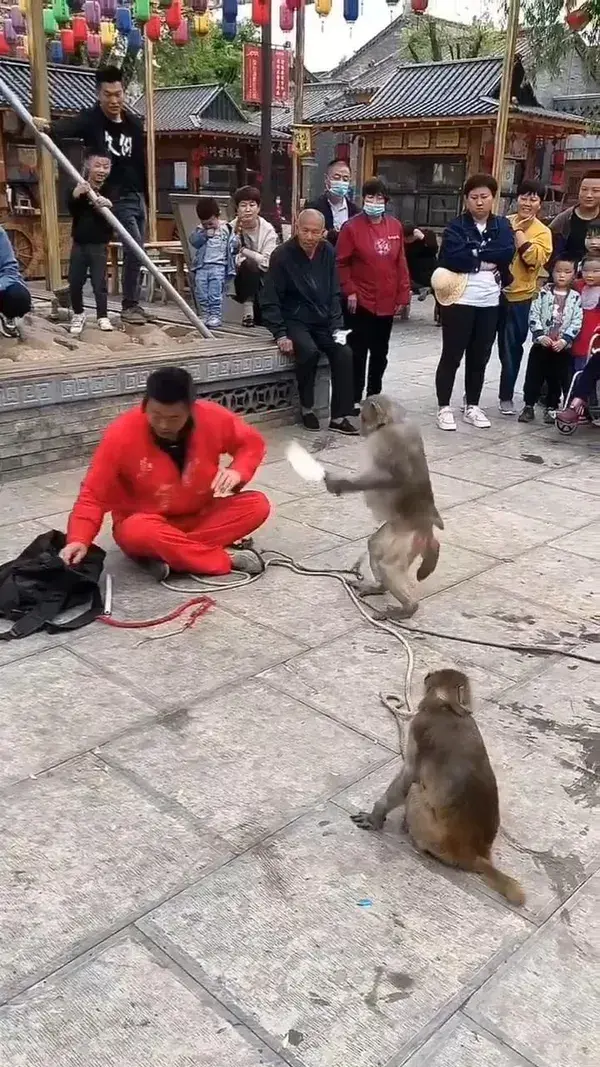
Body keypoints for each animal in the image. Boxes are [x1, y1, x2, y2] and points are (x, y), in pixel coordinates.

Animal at [322, 396, 444, 623]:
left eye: (363, 416)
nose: (360, 427)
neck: (392, 422)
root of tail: (426, 525)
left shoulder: (388, 441)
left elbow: (394, 477)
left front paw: (340, 484)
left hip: (406, 536)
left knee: (388, 564)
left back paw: (408, 608)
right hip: (400, 531)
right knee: (375, 546)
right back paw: (379, 588)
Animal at [350, 670, 523, 904]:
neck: (446, 708)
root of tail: (475, 854)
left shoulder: (419, 726)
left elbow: (408, 776)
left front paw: (375, 816)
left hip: (436, 839)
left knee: (414, 789)